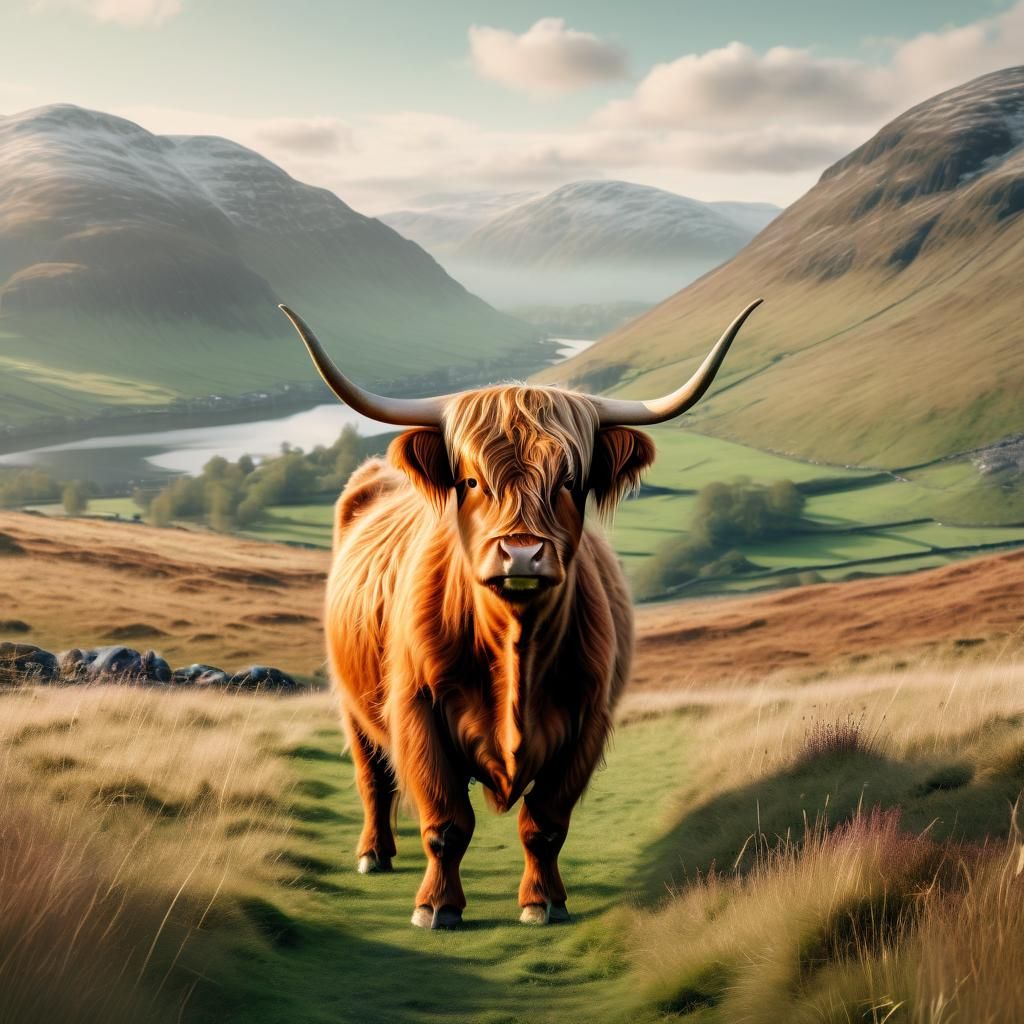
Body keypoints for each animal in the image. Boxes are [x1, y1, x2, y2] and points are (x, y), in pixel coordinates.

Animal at [279, 299, 762, 929]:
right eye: (470, 479)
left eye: (571, 480)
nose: (523, 553)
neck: (515, 644)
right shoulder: (417, 710)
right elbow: (445, 822)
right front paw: (436, 907)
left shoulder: (587, 721)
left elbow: (546, 824)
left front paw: (543, 901)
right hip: (352, 700)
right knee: (372, 778)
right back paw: (374, 854)